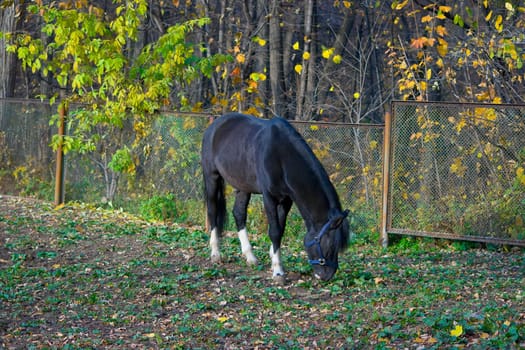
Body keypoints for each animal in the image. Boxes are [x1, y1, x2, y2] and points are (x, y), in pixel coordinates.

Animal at [201, 113, 348, 282]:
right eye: (329, 245)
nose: (327, 276)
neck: (282, 157)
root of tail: (214, 125)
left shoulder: (287, 200)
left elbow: (281, 228)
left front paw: (273, 259)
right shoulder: (269, 197)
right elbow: (275, 231)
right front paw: (278, 271)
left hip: (243, 186)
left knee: (239, 214)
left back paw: (250, 256)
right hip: (212, 177)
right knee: (212, 211)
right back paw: (215, 254)